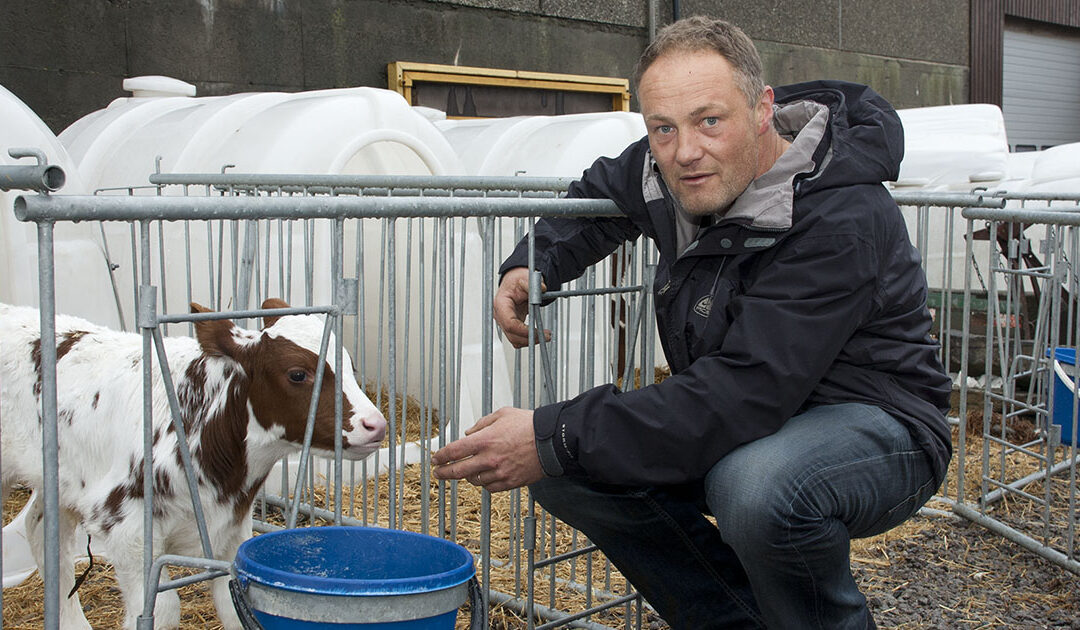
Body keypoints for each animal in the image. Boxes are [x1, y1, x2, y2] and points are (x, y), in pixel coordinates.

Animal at [0, 298, 388, 626]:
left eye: (351, 365)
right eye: (297, 373)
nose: (376, 424)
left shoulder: (234, 529)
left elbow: (233, 606)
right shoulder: (123, 526)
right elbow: (162, 609)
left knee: (41, 530)